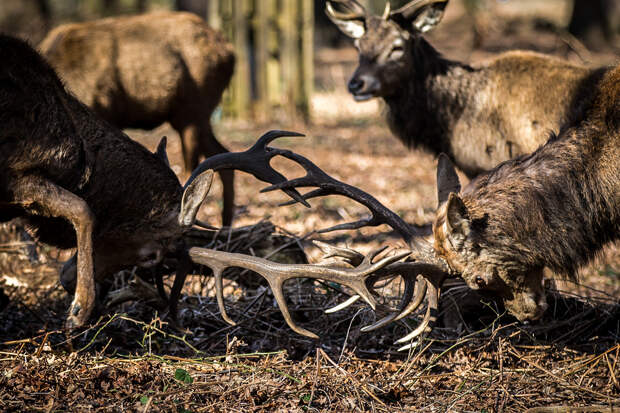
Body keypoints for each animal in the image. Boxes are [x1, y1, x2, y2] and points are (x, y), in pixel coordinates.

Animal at [38, 11, 237, 225]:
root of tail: (229, 52)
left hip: (193, 110)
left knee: (192, 167)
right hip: (196, 115)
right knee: (222, 155)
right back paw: (225, 224)